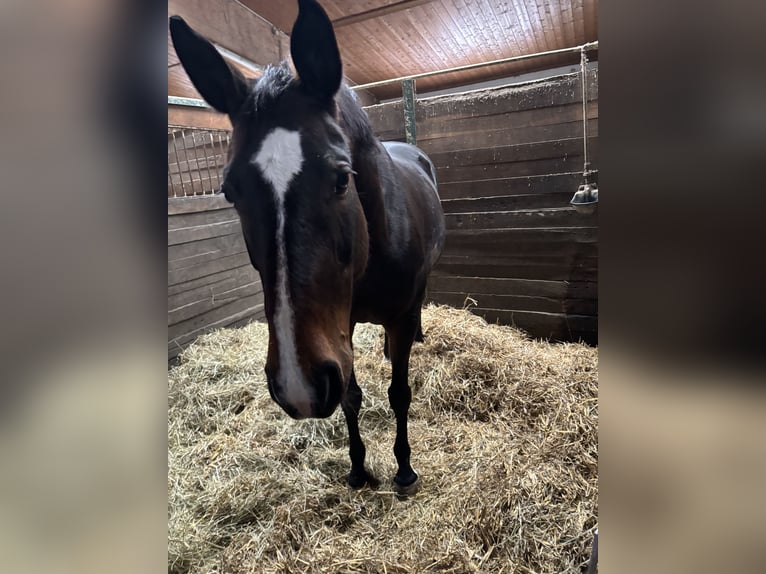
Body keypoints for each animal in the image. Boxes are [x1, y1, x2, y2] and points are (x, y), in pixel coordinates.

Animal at [170, 0, 445, 495]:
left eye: (341, 177)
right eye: (229, 191)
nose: (297, 386)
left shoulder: (394, 316)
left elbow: (398, 393)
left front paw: (404, 469)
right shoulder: (341, 327)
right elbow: (351, 395)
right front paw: (358, 468)